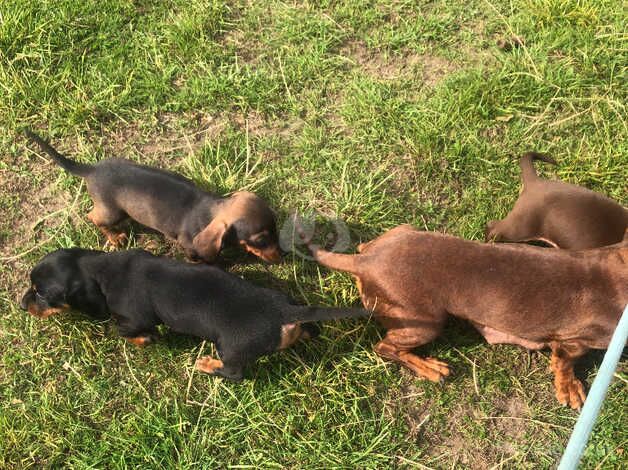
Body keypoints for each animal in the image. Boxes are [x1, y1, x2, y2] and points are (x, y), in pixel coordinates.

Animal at [20, 248, 368, 380]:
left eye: (41, 293)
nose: (22, 305)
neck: (100, 269)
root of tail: (283, 311)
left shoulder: (137, 318)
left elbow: (127, 330)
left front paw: (143, 340)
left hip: (231, 348)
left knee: (233, 373)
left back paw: (206, 365)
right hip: (292, 308)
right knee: (309, 330)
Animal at [24, 130, 280, 262]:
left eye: (276, 229)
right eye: (261, 240)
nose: (282, 257)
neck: (210, 210)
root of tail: (92, 169)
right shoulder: (189, 246)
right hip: (112, 212)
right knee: (93, 218)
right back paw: (114, 237)